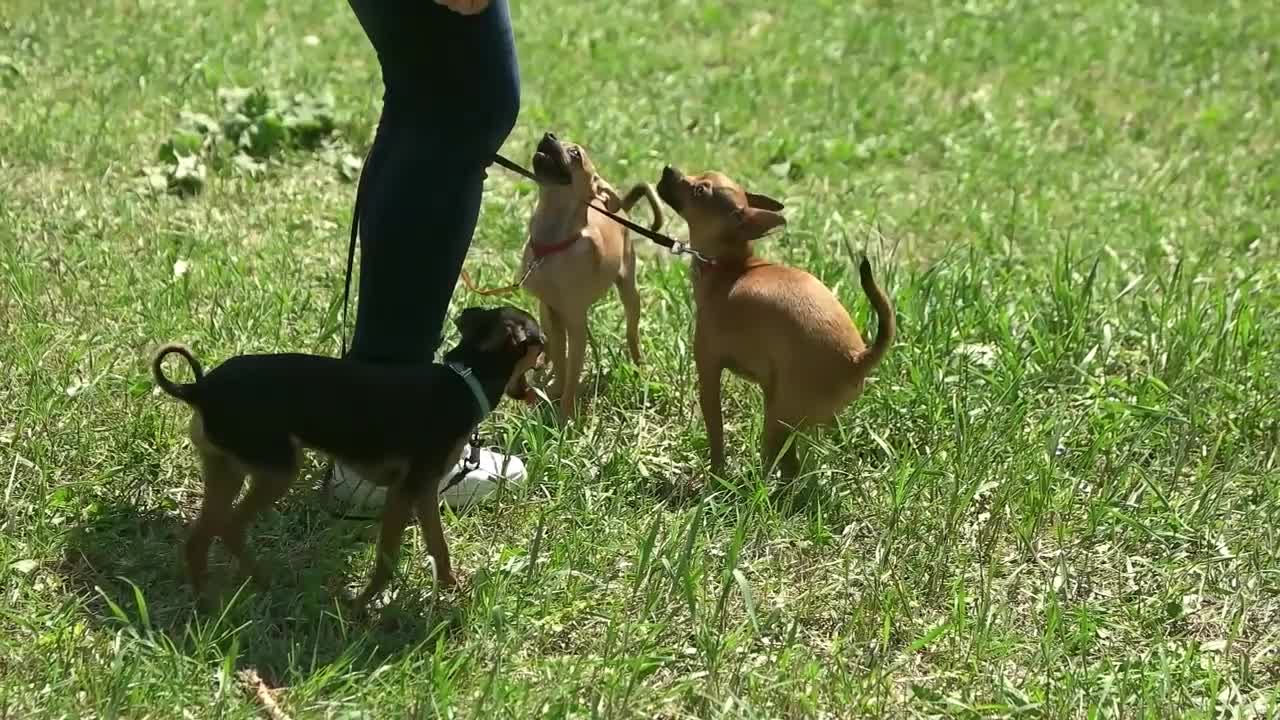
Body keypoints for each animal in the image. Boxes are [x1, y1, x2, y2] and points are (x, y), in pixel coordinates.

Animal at [153, 302, 545, 604]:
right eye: (540, 342)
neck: (464, 380)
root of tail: (199, 389)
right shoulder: (406, 490)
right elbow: (388, 556)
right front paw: (363, 606)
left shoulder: (422, 490)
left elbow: (438, 545)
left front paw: (452, 586)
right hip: (277, 470)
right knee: (230, 527)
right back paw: (258, 586)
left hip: (227, 469)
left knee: (201, 538)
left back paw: (209, 601)